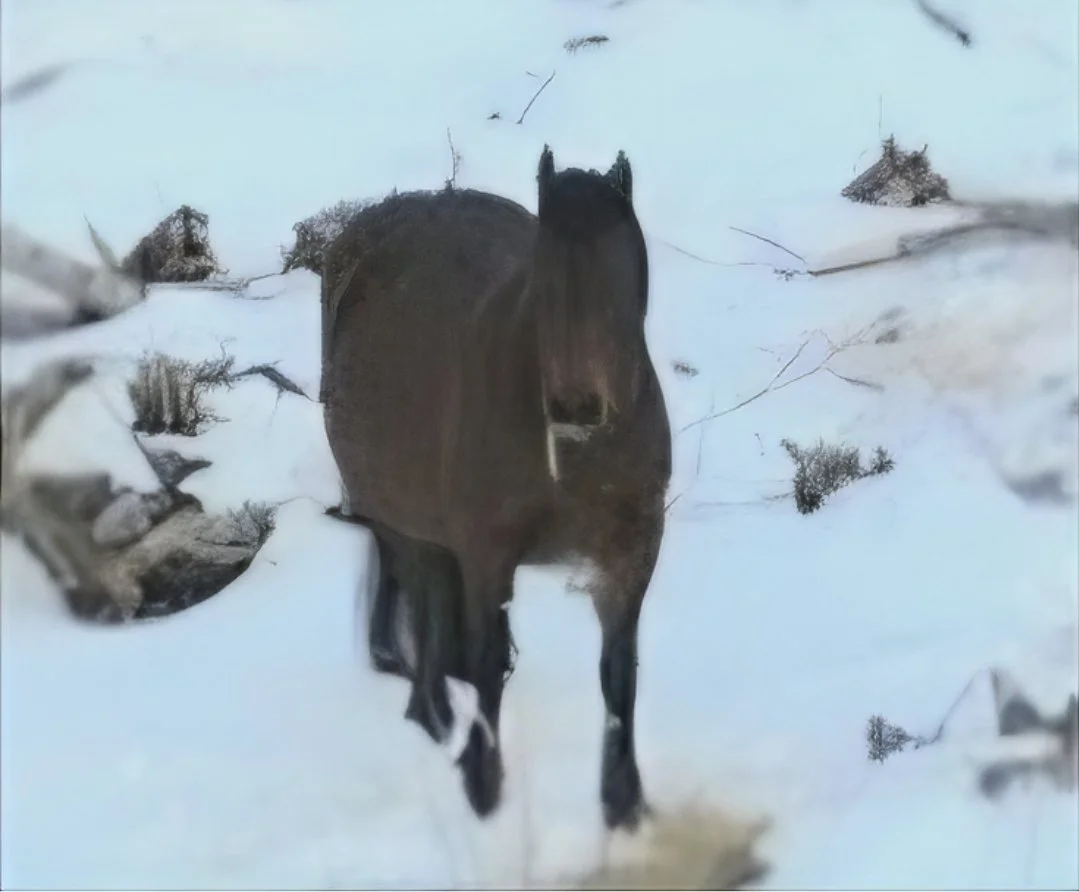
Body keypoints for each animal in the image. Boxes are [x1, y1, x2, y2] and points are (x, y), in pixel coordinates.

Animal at [321, 145, 672, 832]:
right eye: (543, 269)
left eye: (621, 264)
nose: (576, 403)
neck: (574, 458)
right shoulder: (487, 554)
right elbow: (485, 668)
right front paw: (483, 784)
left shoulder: (632, 552)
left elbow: (619, 674)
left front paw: (623, 801)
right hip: (409, 524)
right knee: (427, 617)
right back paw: (432, 718)